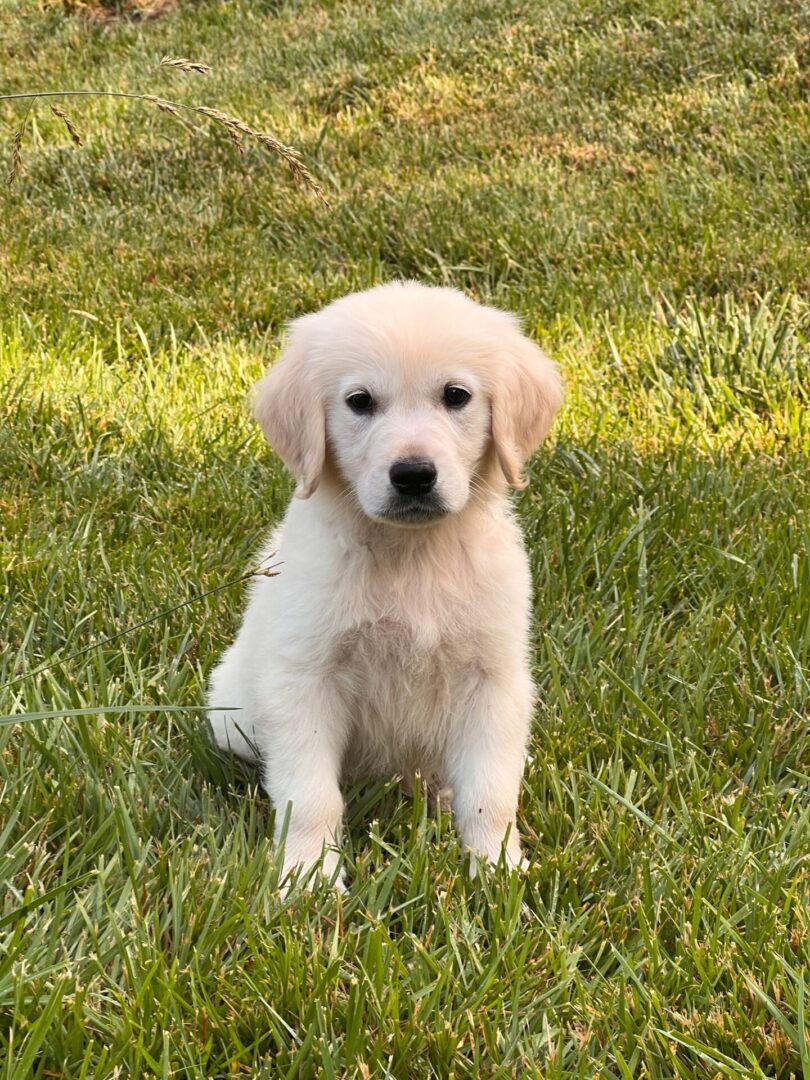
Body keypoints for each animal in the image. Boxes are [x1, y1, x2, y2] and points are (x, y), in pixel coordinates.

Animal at [209, 282, 565, 889]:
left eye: (456, 396)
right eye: (359, 401)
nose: (414, 475)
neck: (410, 556)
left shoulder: (492, 680)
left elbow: (490, 795)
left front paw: (498, 873)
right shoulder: (304, 680)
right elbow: (311, 798)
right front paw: (308, 879)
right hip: (230, 710)